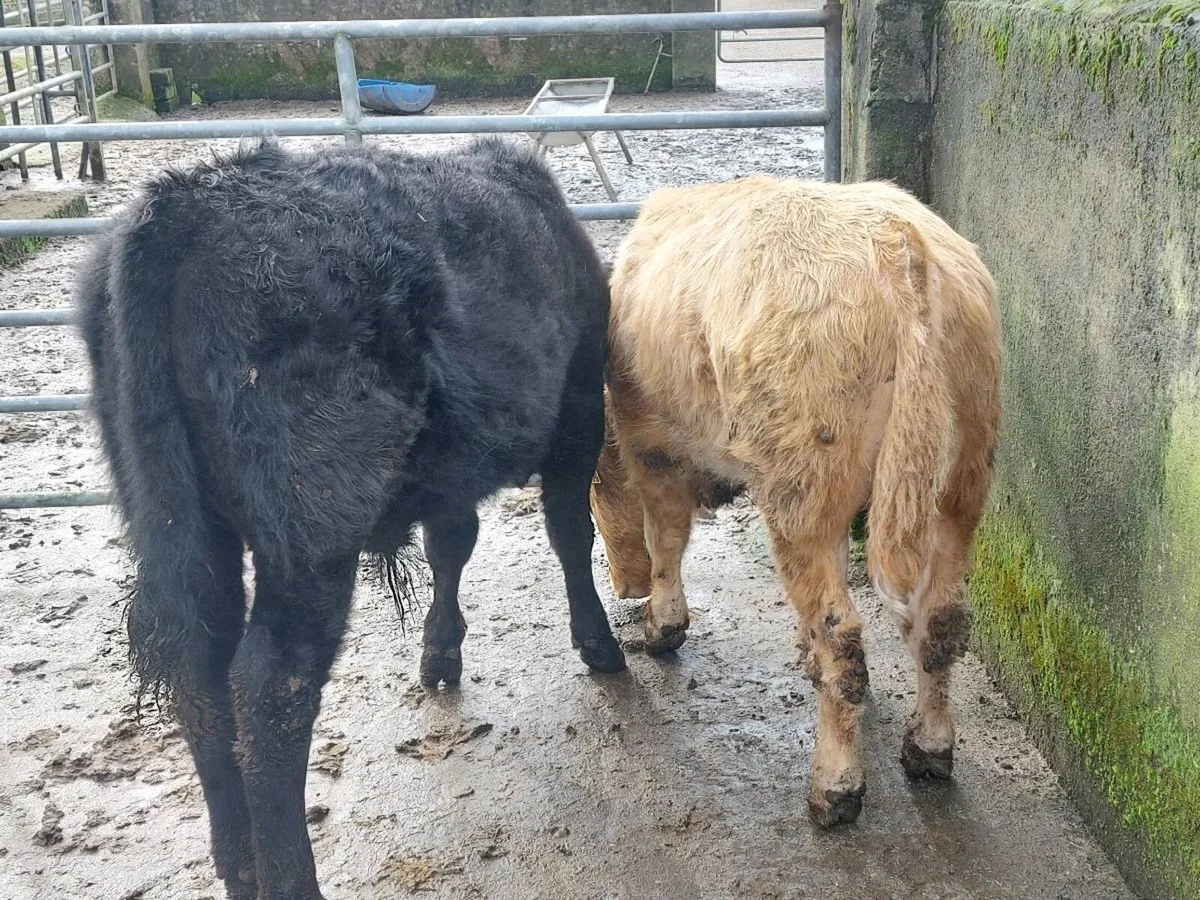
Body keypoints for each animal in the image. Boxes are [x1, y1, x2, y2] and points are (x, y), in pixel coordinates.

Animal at [78, 138, 624, 900]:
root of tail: (187, 201)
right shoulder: (578, 412)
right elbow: (569, 532)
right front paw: (598, 643)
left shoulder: (449, 467)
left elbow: (452, 544)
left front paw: (439, 651)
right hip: (310, 533)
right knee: (271, 688)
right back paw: (289, 877)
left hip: (179, 523)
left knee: (201, 673)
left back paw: (240, 867)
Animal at [590, 175, 1001, 828]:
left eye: (597, 488)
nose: (622, 587)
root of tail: (898, 249)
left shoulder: (652, 445)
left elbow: (667, 539)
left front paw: (661, 625)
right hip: (960, 480)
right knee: (938, 620)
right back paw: (929, 750)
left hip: (799, 490)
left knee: (844, 639)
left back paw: (834, 788)